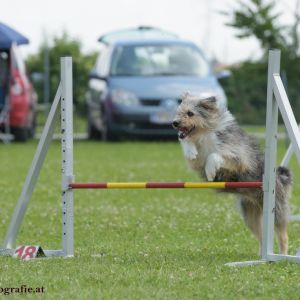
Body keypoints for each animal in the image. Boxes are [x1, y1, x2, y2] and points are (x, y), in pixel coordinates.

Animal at [172, 92, 292, 254]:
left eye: (190, 113)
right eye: (178, 111)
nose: (174, 123)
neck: (205, 134)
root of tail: (279, 176)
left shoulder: (238, 157)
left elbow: (215, 155)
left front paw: (211, 172)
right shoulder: (198, 162)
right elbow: (190, 148)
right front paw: (190, 151)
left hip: (276, 210)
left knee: (282, 236)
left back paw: (281, 255)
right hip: (250, 216)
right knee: (262, 237)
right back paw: (261, 256)